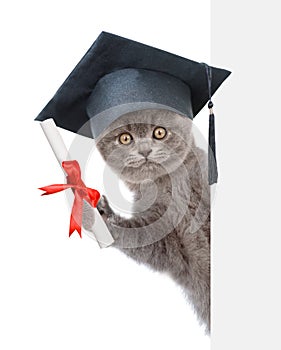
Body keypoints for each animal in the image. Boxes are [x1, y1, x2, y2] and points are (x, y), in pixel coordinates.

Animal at [82, 109, 209, 334]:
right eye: (125, 138)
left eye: (159, 132)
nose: (144, 151)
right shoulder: (169, 245)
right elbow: (145, 242)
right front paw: (101, 215)